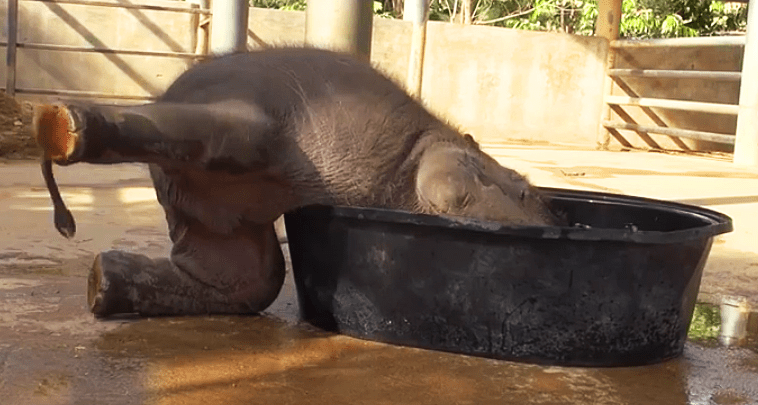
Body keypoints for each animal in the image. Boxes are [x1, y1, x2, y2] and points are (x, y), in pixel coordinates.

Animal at [34, 47, 563, 318]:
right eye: (523, 187)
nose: (553, 224)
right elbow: (444, 182)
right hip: (251, 124)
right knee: (226, 137)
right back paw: (63, 126)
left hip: (210, 215)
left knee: (253, 280)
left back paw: (101, 285)